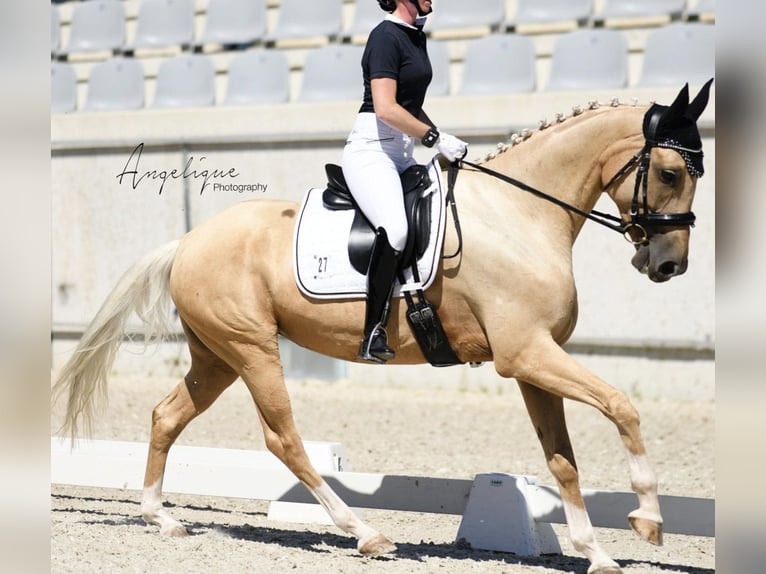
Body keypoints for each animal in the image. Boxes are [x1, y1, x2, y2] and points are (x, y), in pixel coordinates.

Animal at [52, 82, 712, 574]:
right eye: (672, 172)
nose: (668, 265)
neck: (520, 215)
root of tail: (188, 241)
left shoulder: (535, 362)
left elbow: (563, 461)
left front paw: (596, 553)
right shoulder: (526, 355)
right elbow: (623, 406)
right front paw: (648, 521)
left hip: (216, 356)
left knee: (167, 415)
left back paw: (161, 517)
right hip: (251, 349)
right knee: (284, 440)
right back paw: (365, 534)